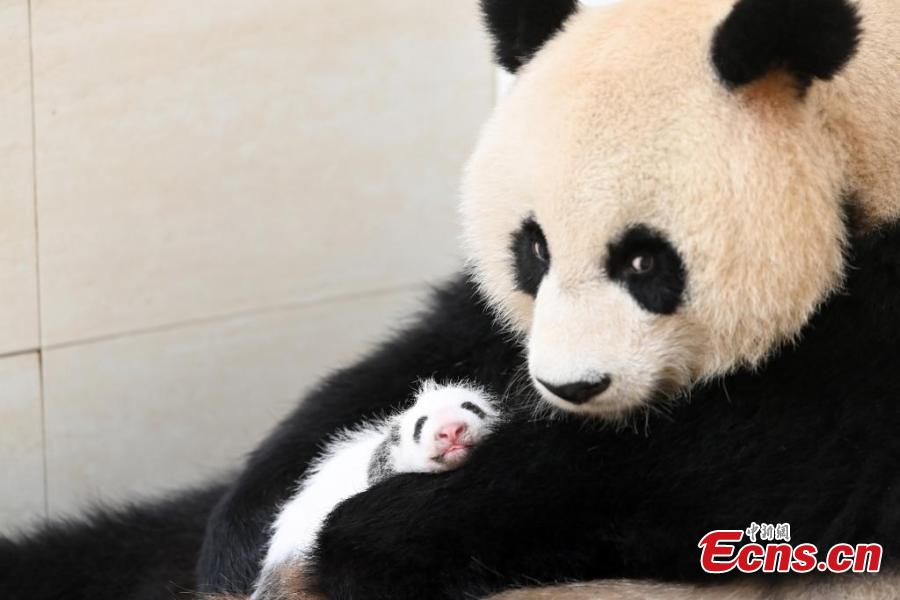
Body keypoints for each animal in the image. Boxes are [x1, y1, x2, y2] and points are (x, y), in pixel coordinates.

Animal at [2, 0, 899, 599]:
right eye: (533, 249)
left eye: (647, 261)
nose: (568, 388)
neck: (853, 121)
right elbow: (438, 341)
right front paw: (251, 529)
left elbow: (761, 451)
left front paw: (370, 535)